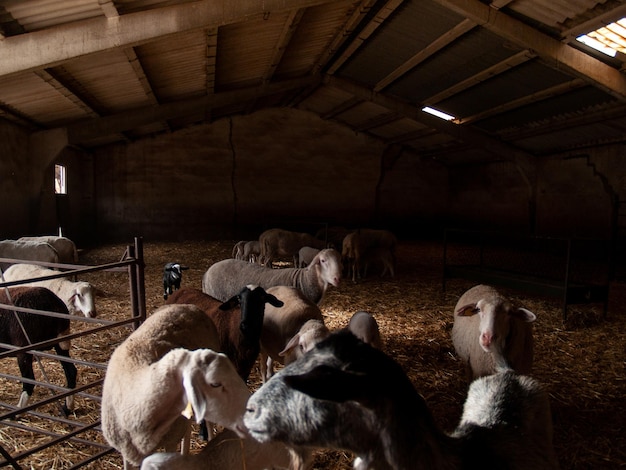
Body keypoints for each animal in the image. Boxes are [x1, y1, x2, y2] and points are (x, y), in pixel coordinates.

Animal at [0, 286, 77, 414]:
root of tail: (54, 303)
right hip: (59, 343)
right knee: (71, 371)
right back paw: (67, 408)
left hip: (24, 348)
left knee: (29, 380)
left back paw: (17, 412)